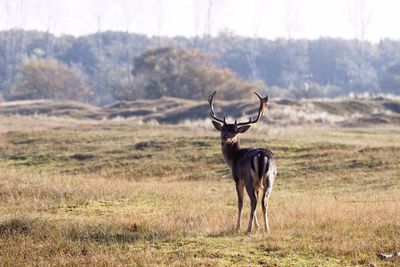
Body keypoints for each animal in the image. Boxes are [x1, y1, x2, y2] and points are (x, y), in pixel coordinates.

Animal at [208, 91, 276, 233]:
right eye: (223, 129)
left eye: (234, 131)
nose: (225, 137)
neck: (233, 158)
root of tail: (261, 156)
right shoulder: (257, 184)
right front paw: (258, 226)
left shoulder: (237, 179)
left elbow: (240, 203)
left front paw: (238, 226)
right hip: (270, 178)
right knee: (264, 201)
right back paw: (267, 228)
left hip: (248, 177)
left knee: (253, 201)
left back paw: (248, 229)